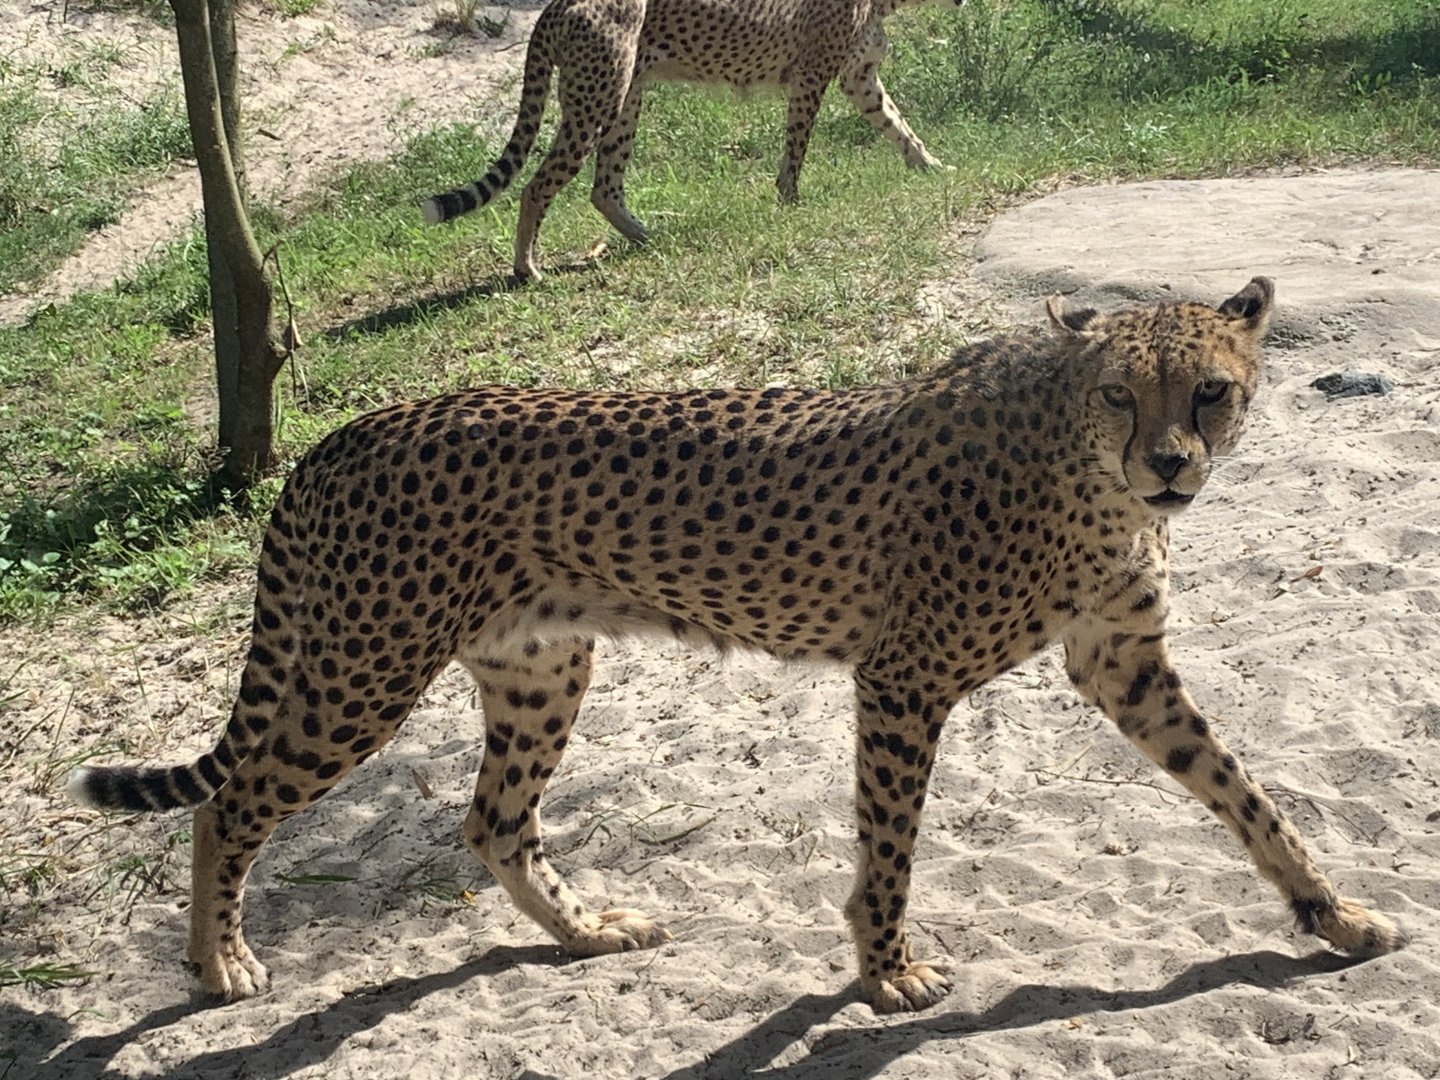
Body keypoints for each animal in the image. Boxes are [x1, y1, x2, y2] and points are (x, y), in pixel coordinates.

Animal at [68, 278, 1406, 1013]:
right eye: (1121, 394)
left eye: (1212, 390)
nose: (1169, 466)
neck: (1081, 467)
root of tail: (343, 434)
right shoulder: (904, 678)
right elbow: (889, 844)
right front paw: (888, 972)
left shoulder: (1120, 664)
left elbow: (1246, 794)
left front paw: (1333, 915)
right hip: (365, 673)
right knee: (231, 800)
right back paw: (220, 965)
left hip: (541, 665)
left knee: (492, 820)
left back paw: (587, 933)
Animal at [420, 0, 953, 281]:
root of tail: (556, 4)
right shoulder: (811, 75)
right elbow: (797, 146)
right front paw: (790, 200)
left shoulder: (859, 77)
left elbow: (897, 125)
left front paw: (932, 166)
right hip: (598, 101)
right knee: (538, 185)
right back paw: (528, 268)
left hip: (626, 99)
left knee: (603, 187)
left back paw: (651, 238)